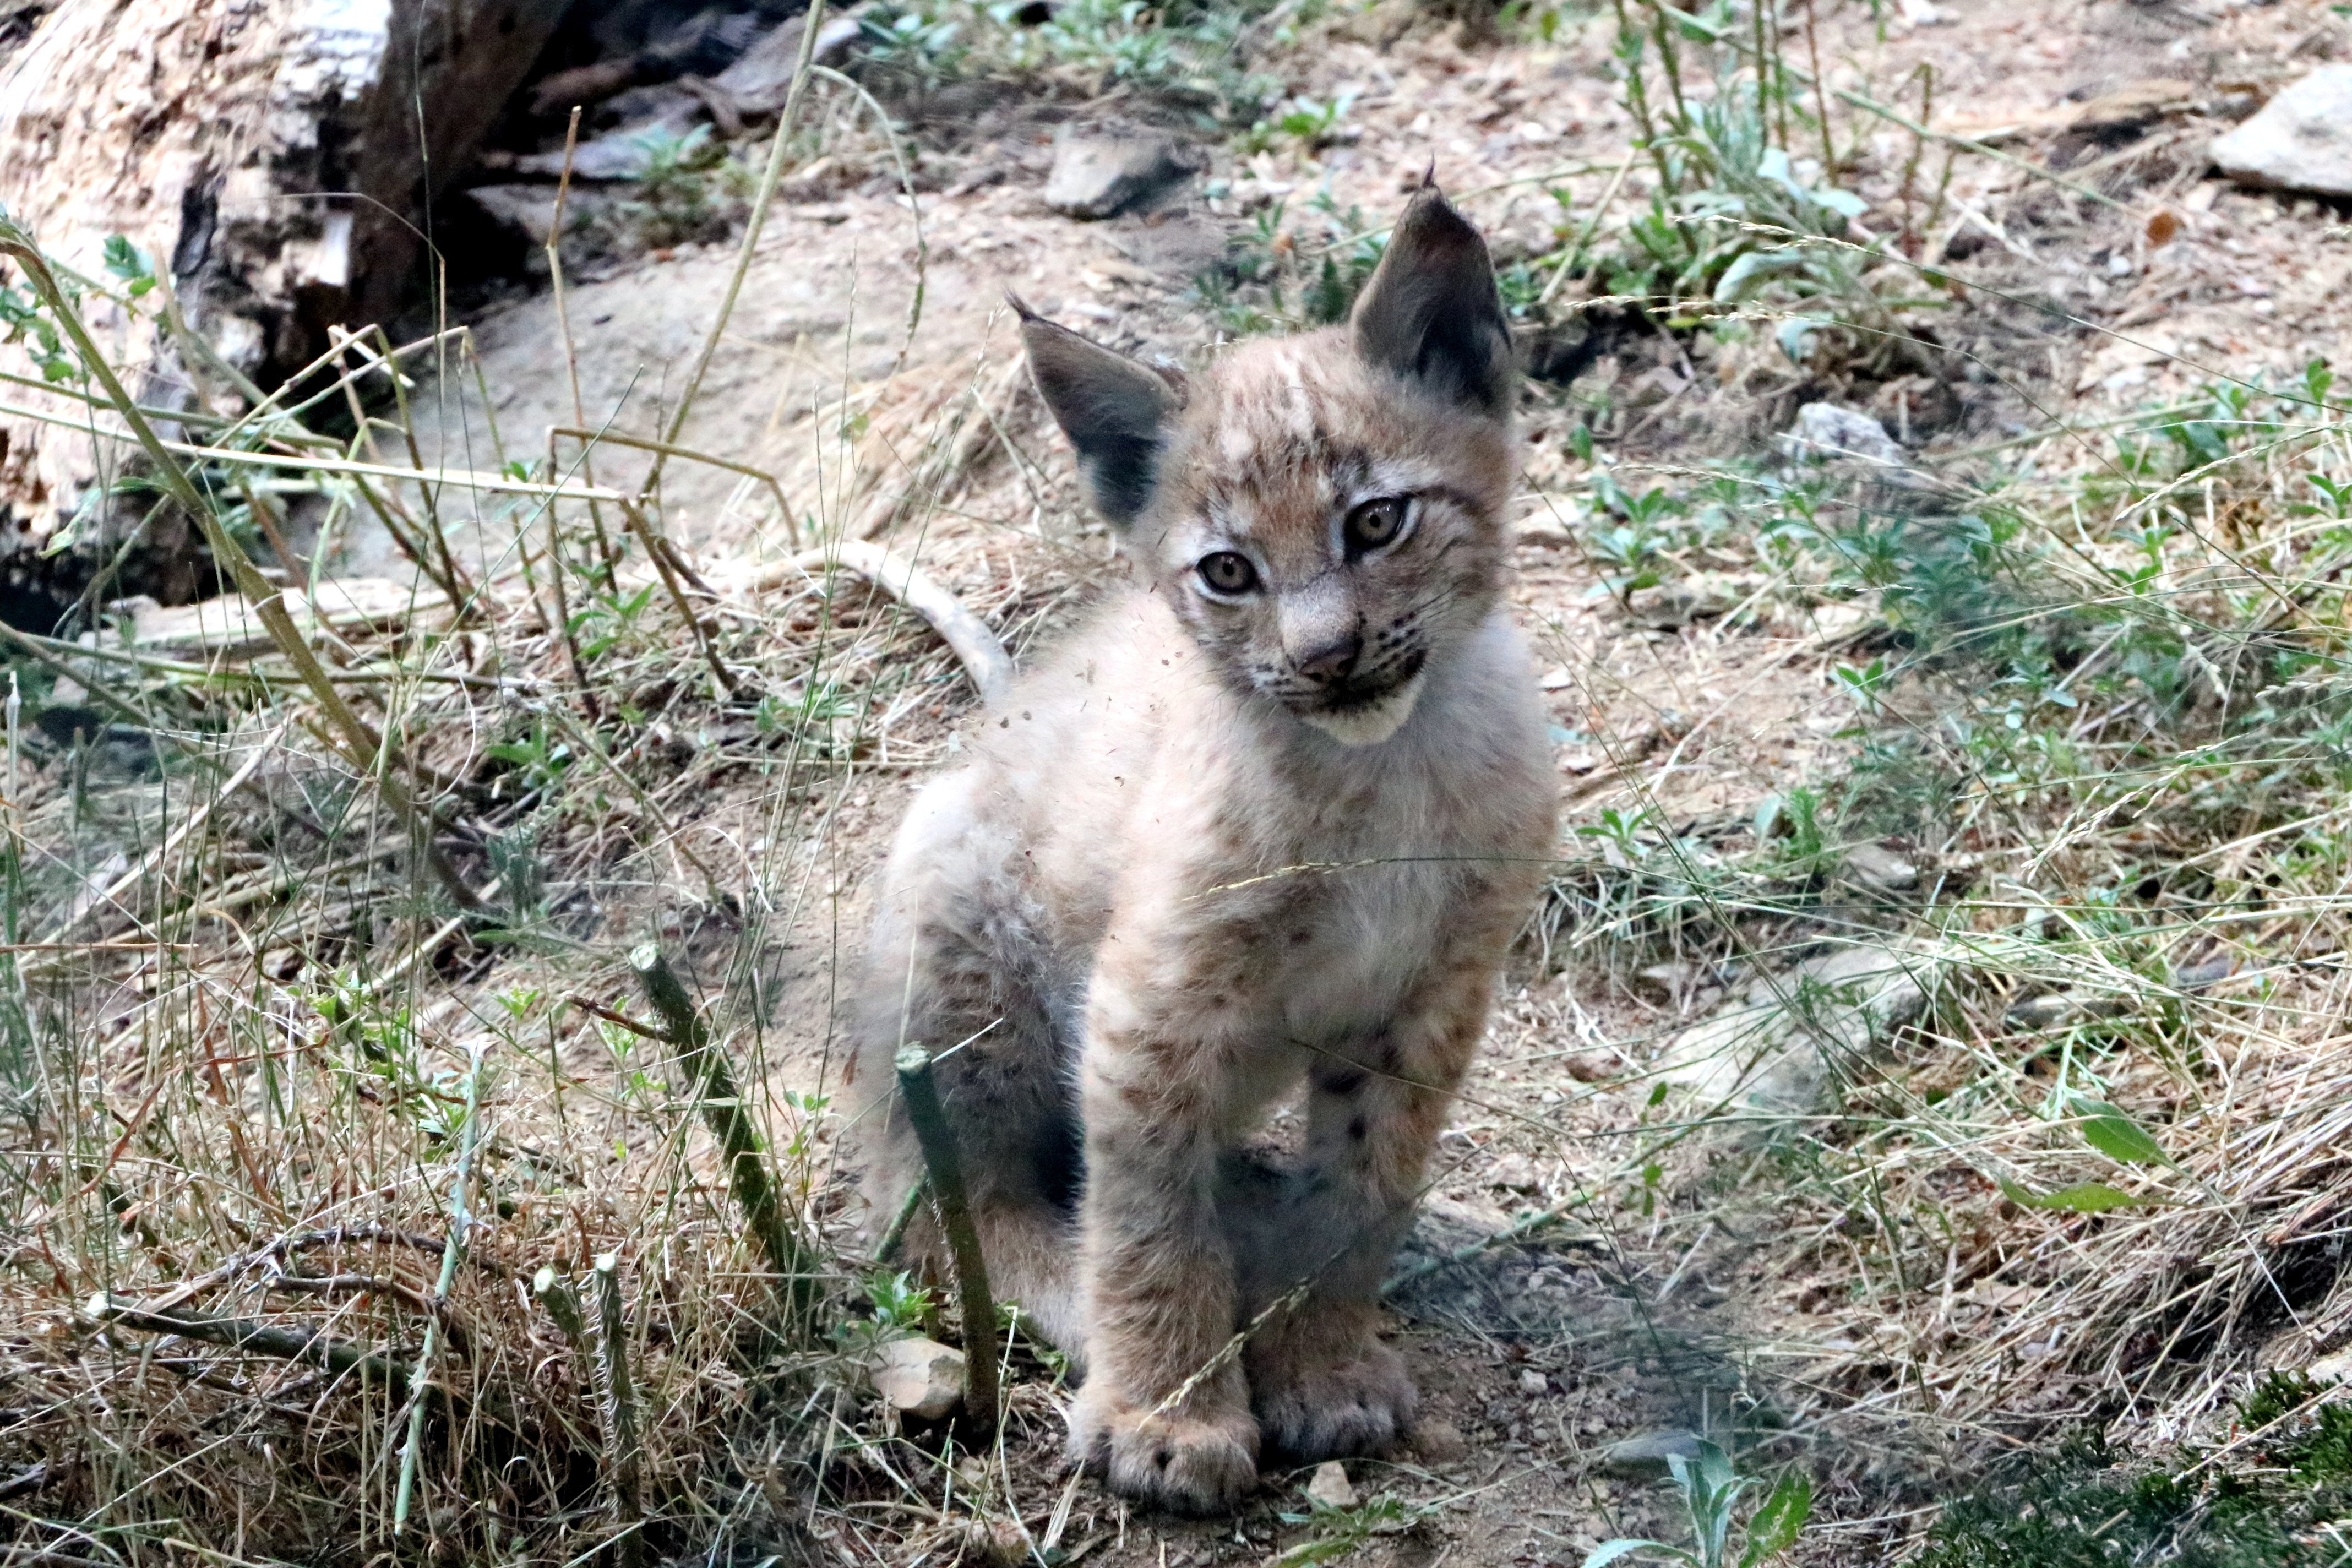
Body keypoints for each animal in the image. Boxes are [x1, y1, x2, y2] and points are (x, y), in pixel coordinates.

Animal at [856, 190, 1552, 1513]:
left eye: (1375, 521)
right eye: (1229, 572)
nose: (1326, 656)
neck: (1374, 768)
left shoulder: (1438, 989)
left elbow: (1366, 1185)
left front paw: (1319, 1360)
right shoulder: (1156, 994)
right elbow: (1146, 1209)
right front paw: (1167, 1413)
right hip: (962, 949)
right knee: (948, 1207)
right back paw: (1085, 1295)